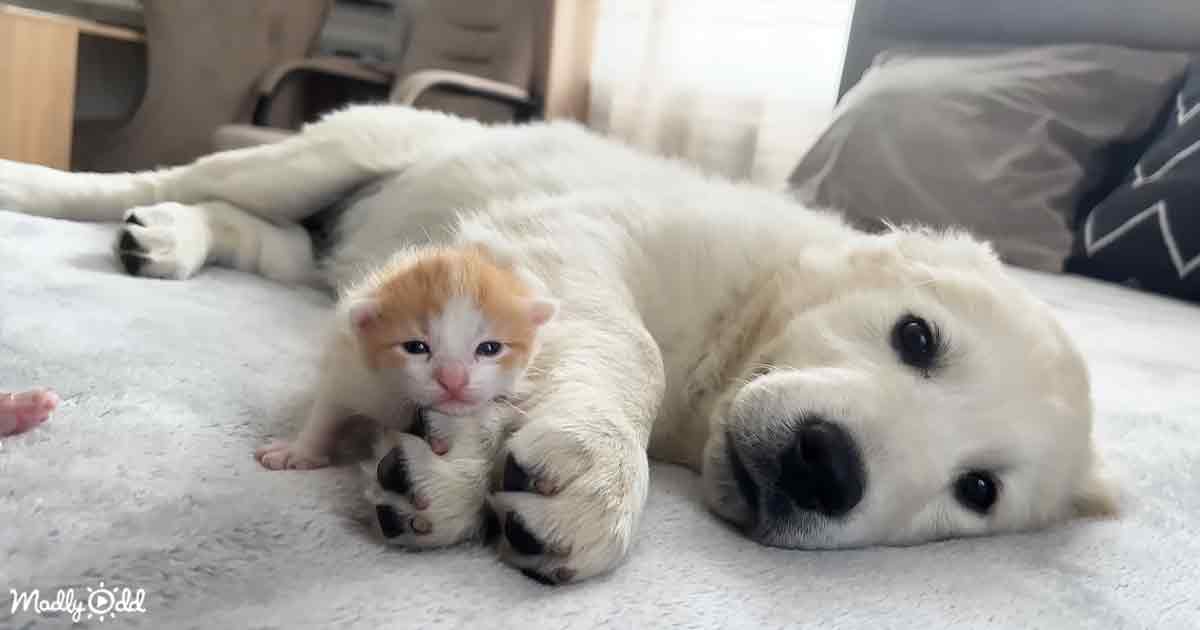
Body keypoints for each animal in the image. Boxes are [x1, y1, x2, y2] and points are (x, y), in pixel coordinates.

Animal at [255, 243, 554, 468]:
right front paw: (299, 450)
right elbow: (328, 410)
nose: (453, 380)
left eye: (490, 348)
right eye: (416, 347)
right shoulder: (352, 368)